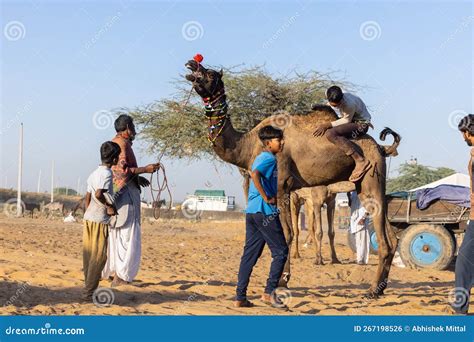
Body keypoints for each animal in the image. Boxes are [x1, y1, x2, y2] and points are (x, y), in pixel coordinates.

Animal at [184, 58, 400, 296]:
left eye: (210, 74)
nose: (191, 65)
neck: (247, 145)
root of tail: (381, 148)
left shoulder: (280, 186)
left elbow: (286, 234)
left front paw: (282, 280)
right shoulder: (285, 190)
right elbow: (285, 233)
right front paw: (283, 278)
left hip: (371, 178)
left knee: (384, 237)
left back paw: (372, 290)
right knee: (392, 235)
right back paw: (380, 288)